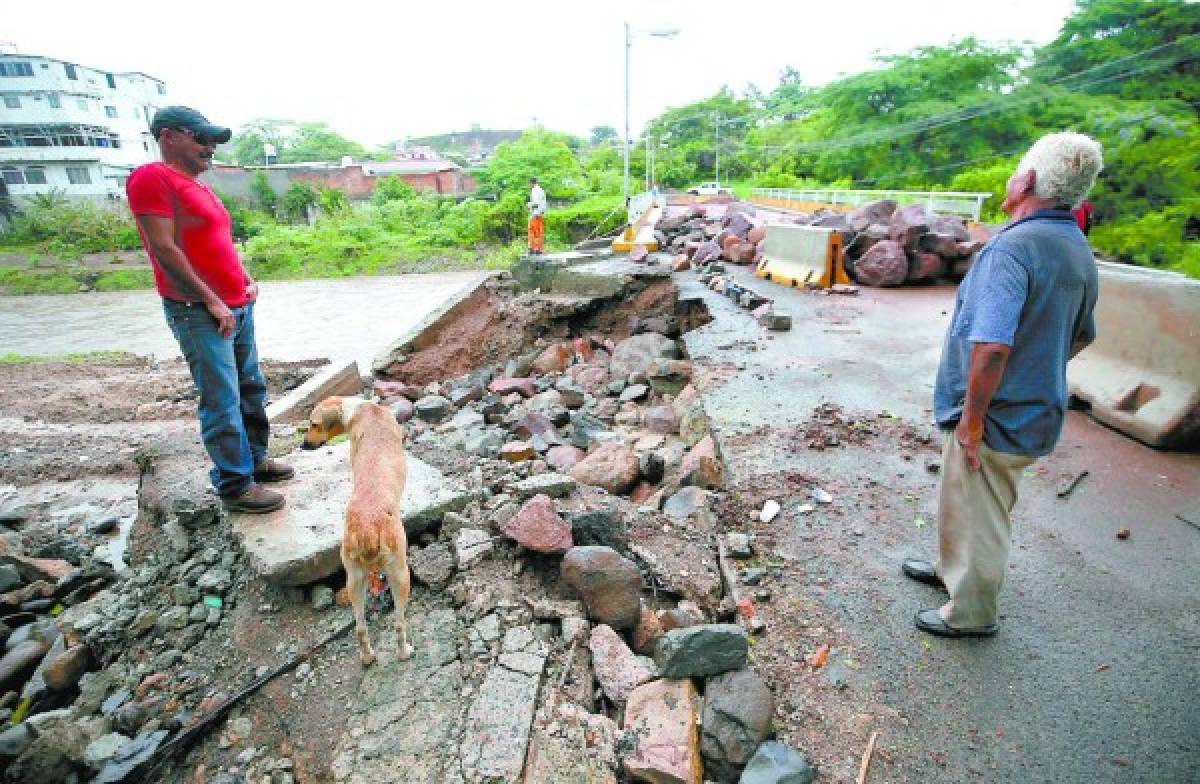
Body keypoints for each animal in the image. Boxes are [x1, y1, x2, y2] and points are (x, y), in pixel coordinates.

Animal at [300, 393, 412, 662]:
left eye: (313, 424)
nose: (303, 446)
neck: (363, 409)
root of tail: (368, 530)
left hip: (354, 581)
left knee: (360, 628)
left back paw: (367, 657)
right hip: (400, 574)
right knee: (398, 623)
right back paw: (404, 651)